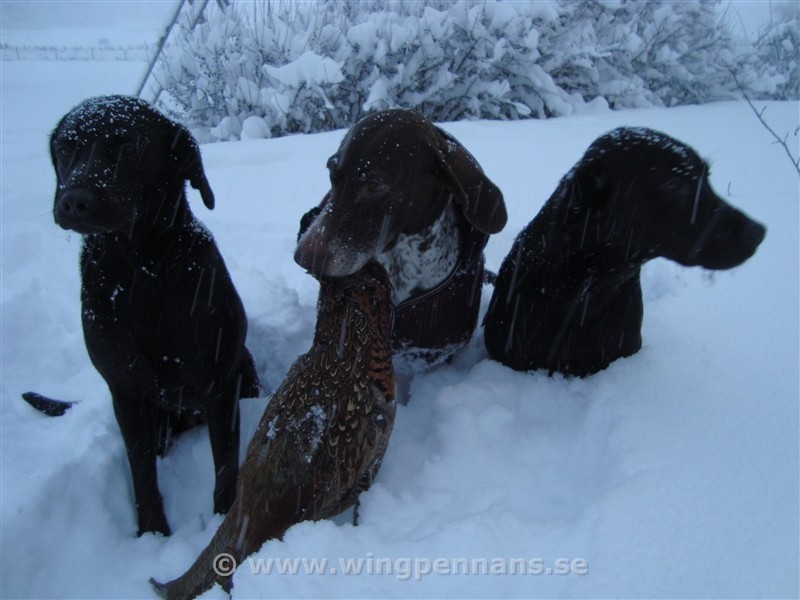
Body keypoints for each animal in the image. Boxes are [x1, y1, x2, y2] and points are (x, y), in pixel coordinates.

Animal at [25, 96, 260, 536]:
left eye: (129, 147)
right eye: (65, 148)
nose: (74, 199)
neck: (140, 271)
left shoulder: (219, 383)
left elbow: (225, 462)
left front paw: (223, 521)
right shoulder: (125, 390)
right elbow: (141, 470)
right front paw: (152, 531)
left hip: (244, 370)